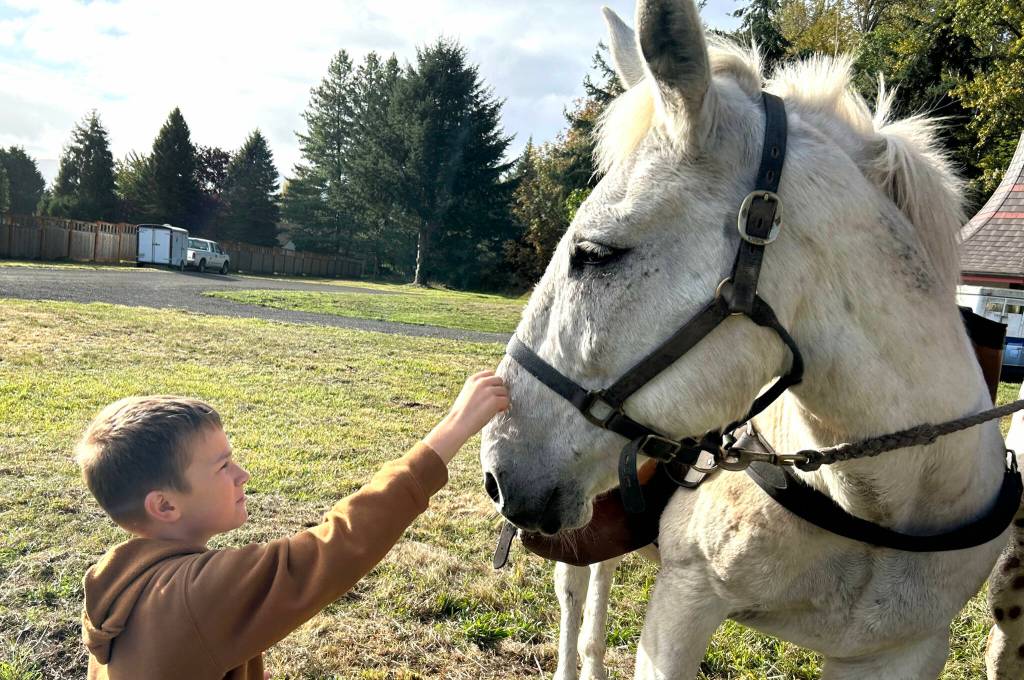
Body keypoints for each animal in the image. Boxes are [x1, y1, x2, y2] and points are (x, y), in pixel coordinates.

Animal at [480, 0, 1024, 677]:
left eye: (595, 253)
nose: (497, 465)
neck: (883, 499)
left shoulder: (902, 651)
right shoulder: (683, 607)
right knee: (576, 594)